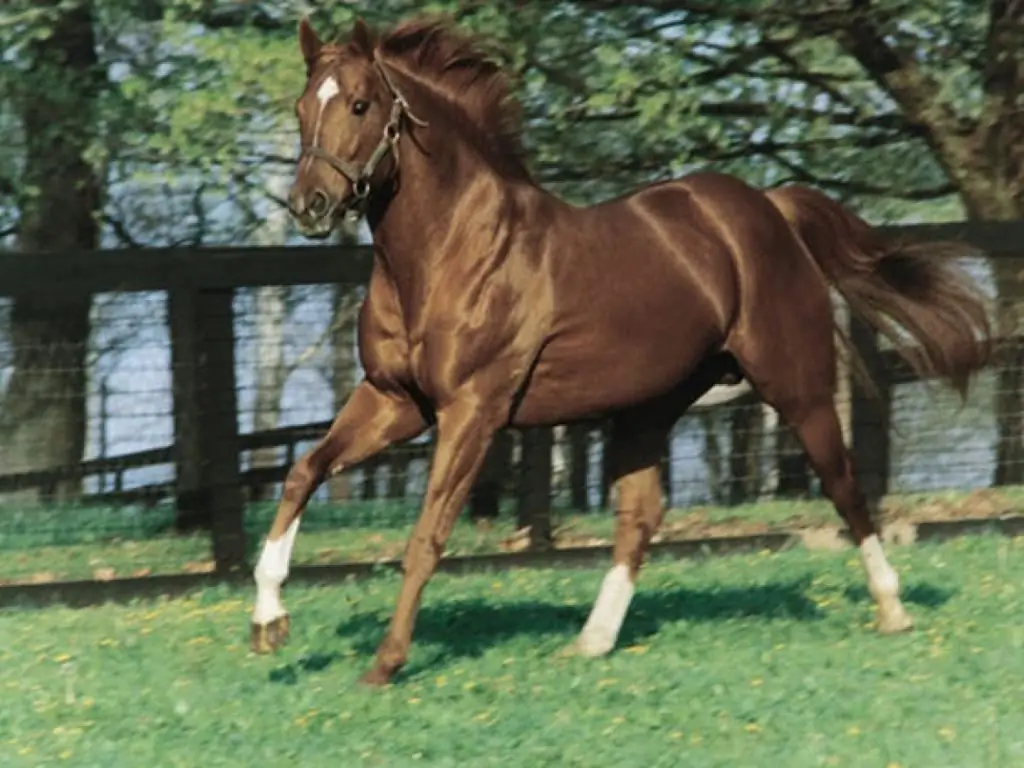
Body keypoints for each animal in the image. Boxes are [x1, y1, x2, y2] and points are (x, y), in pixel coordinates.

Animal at [249, 13, 991, 684]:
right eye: (300, 107)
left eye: (360, 103)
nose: (309, 204)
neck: (448, 253)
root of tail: (768, 208)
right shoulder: (395, 400)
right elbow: (303, 472)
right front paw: (267, 622)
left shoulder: (472, 410)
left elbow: (426, 535)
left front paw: (386, 662)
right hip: (647, 407)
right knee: (641, 516)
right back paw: (591, 641)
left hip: (796, 386)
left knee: (846, 487)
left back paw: (892, 610)